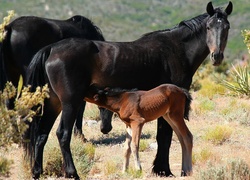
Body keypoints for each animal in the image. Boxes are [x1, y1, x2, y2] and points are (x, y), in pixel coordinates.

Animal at [25, 2, 232, 179]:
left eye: (227, 27)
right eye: (208, 27)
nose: (217, 56)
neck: (176, 49)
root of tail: (51, 49)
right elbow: (165, 136)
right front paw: (163, 170)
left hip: (53, 103)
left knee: (41, 135)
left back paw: (37, 172)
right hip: (70, 103)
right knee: (63, 134)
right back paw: (72, 173)